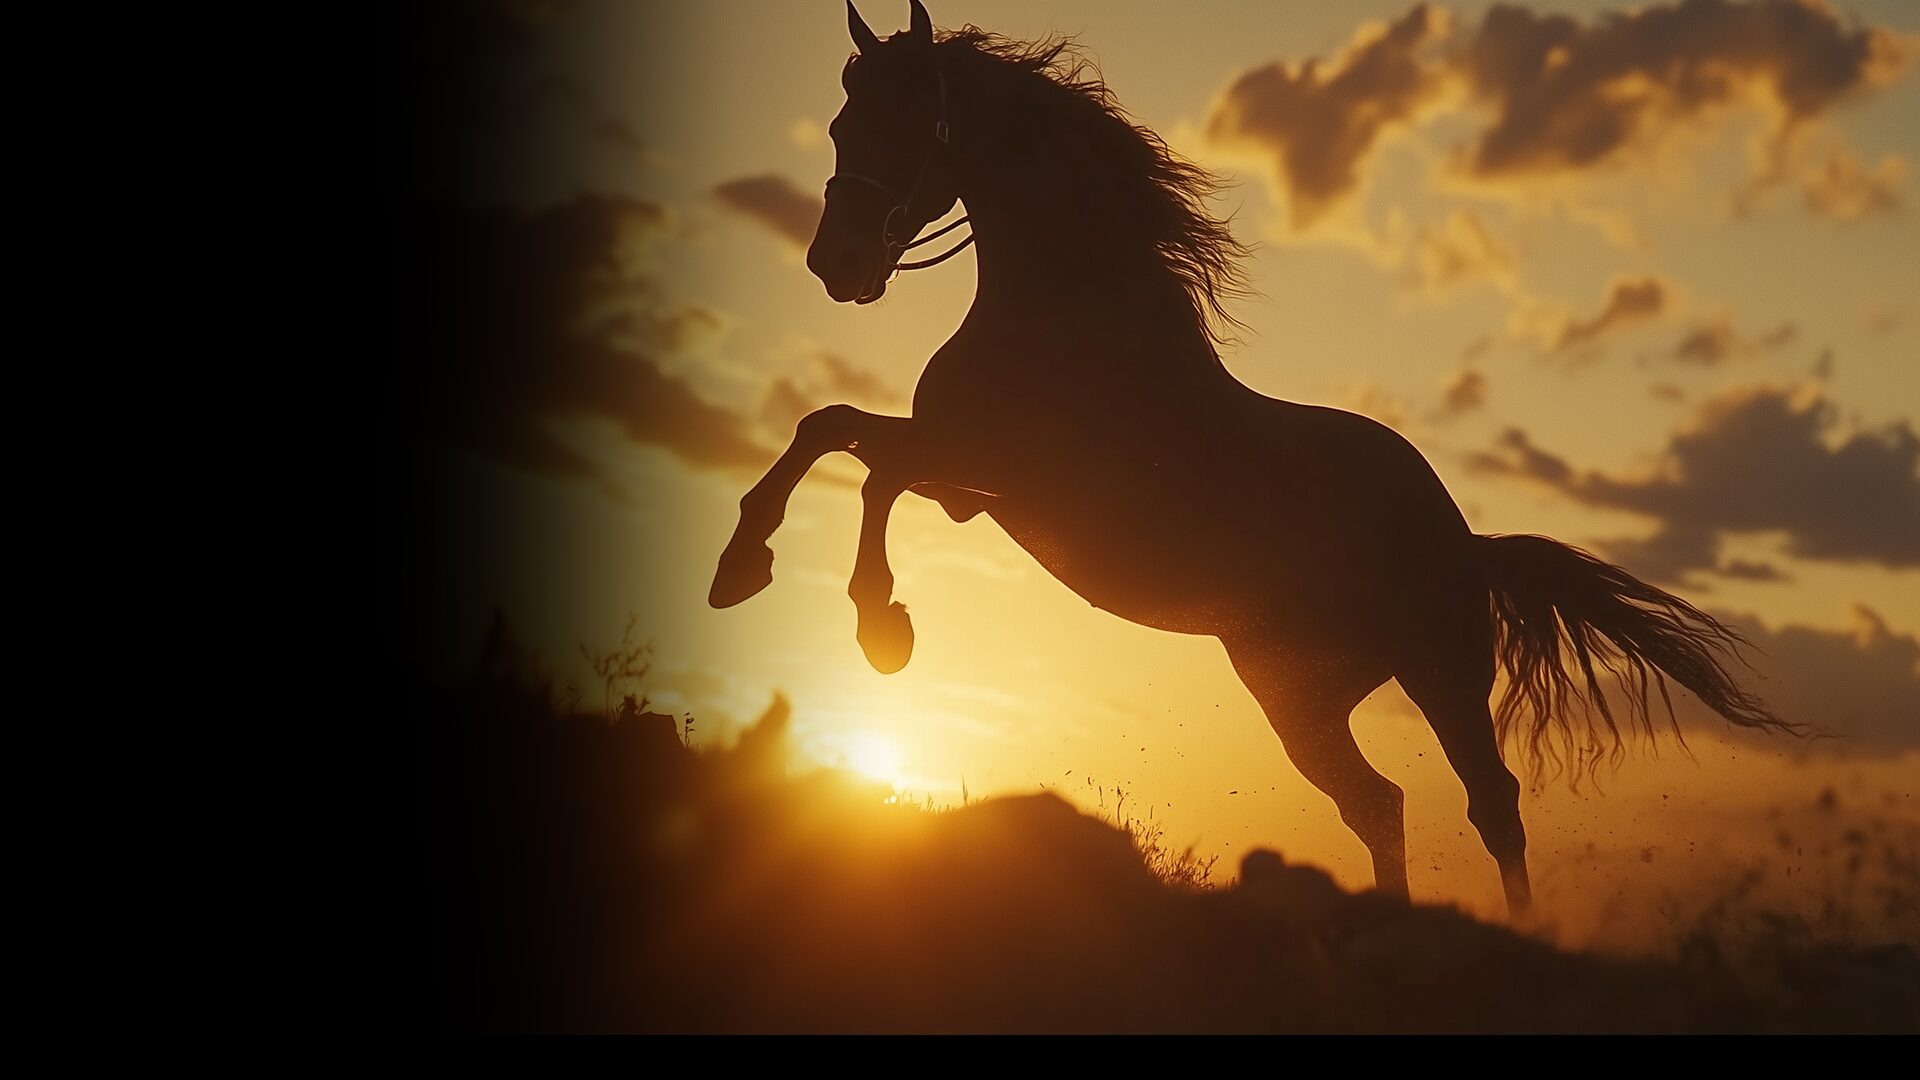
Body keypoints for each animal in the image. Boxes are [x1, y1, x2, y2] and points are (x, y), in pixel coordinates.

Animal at [709, 0, 1791, 915]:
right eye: (842, 128)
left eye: (903, 124)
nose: (837, 267)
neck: (1069, 318)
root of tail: (1465, 542)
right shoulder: (969, 489)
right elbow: (833, 433)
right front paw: (753, 572)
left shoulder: (998, 476)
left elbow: (865, 458)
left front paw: (867, 621)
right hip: (1295, 690)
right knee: (1378, 805)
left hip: (1438, 677)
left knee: (1491, 804)